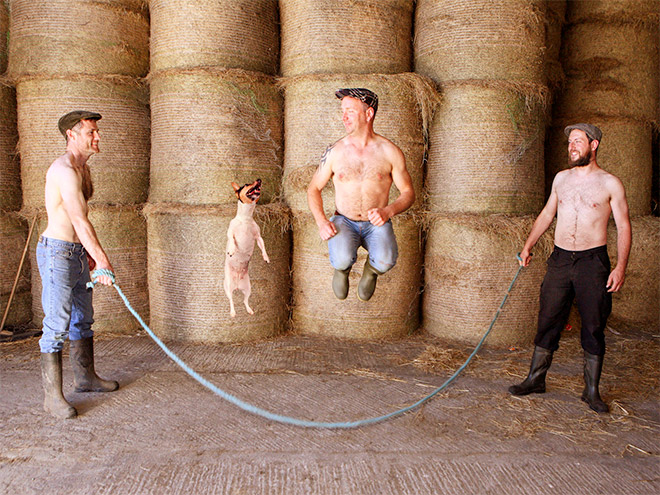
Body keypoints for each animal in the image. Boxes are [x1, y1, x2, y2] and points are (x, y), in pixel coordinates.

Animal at [224, 178, 270, 318]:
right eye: (245, 185)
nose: (259, 179)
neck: (245, 218)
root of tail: (237, 286)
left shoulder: (258, 236)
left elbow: (263, 245)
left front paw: (266, 257)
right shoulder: (231, 232)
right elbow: (232, 240)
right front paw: (232, 250)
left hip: (248, 288)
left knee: (245, 301)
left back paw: (249, 310)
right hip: (227, 287)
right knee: (231, 300)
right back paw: (233, 312)